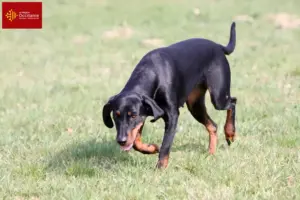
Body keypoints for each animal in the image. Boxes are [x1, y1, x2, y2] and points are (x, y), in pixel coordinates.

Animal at [102, 21, 237, 169]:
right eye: (116, 115)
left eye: (133, 116)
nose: (121, 140)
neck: (151, 72)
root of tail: (218, 46)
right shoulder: (144, 113)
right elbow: (136, 142)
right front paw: (151, 148)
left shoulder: (171, 115)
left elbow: (165, 145)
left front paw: (160, 168)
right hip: (195, 104)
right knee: (213, 126)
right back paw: (211, 153)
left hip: (218, 97)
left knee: (232, 102)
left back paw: (230, 133)